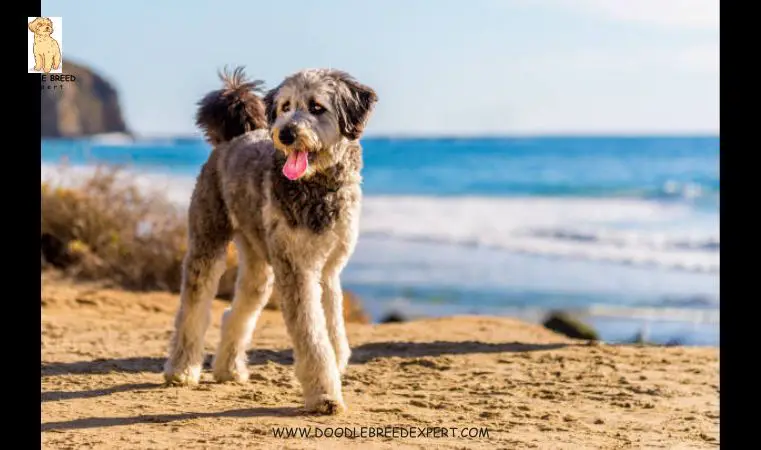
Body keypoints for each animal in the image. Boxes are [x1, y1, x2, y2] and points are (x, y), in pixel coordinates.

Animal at [167, 67, 380, 414]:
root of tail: (232, 138)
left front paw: (336, 365)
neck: (316, 186)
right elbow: (313, 336)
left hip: (259, 264)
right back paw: (181, 369)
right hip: (208, 241)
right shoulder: (297, 270)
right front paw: (324, 393)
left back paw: (228, 369)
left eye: (317, 107)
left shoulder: (328, 270)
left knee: (237, 312)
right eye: (284, 107)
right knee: (193, 308)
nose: (286, 134)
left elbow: (333, 326)